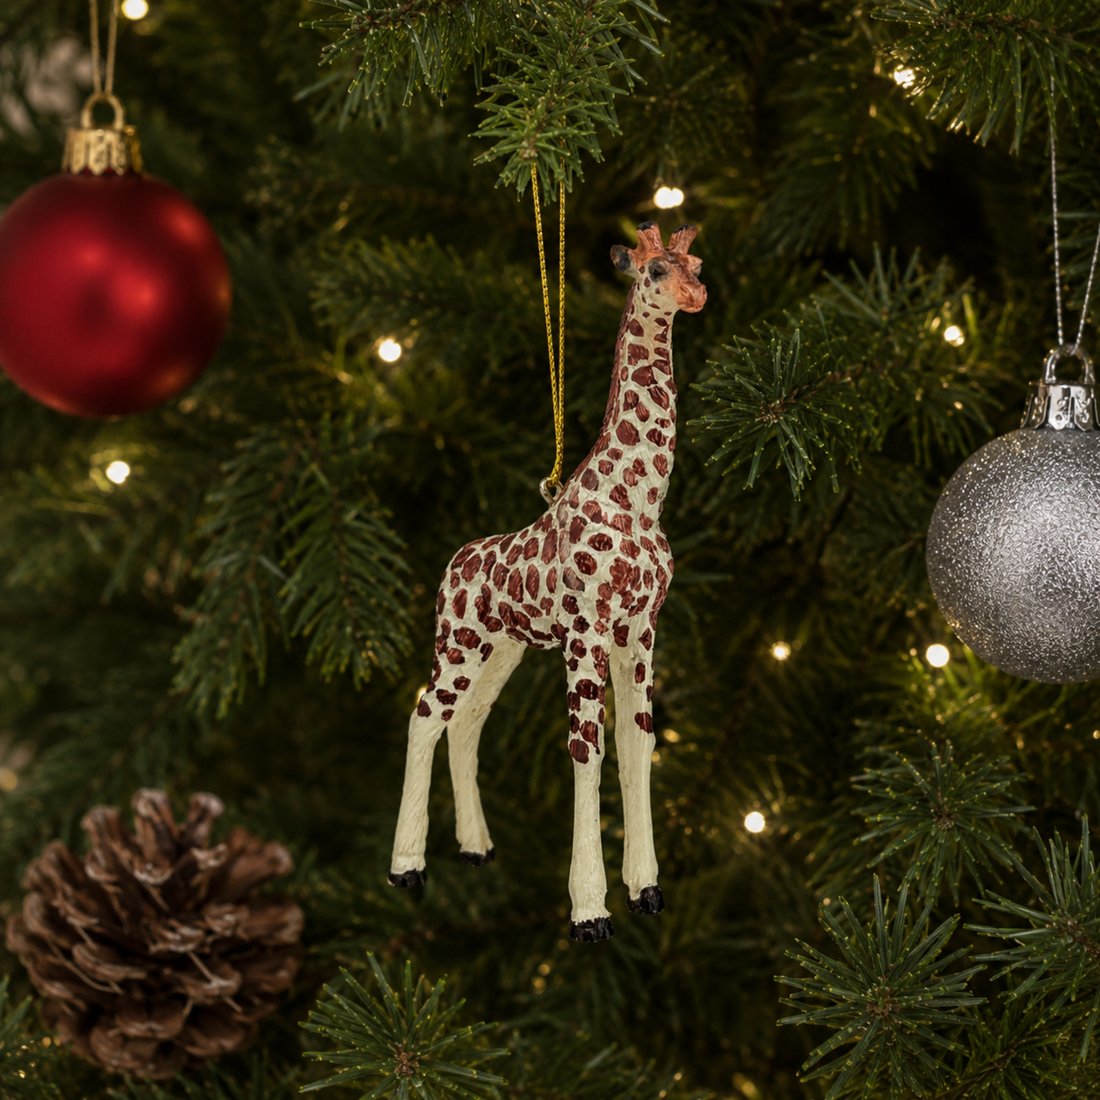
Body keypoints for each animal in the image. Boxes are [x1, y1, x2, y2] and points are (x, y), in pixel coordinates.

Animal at [388, 221, 706, 942]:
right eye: (653, 271)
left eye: (697, 263)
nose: (696, 296)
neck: (640, 499)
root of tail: (452, 565)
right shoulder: (587, 632)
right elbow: (586, 752)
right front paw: (589, 911)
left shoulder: (640, 629)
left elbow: (637, 743)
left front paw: (645, 888)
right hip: (459, 643)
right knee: (423, 717)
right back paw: (407, 867)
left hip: (502, 648)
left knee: (466, 724)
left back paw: (476, 847)